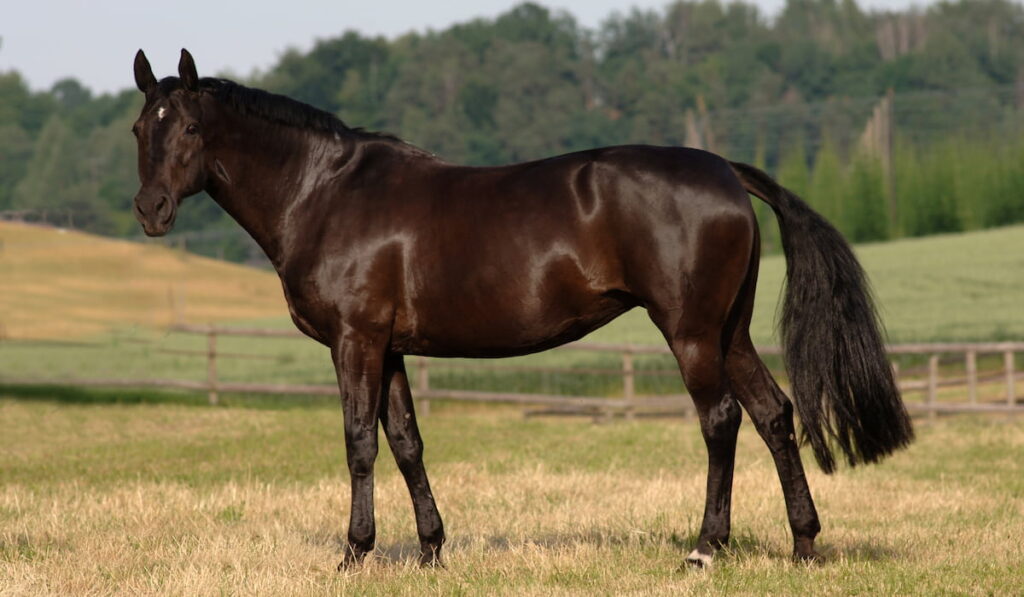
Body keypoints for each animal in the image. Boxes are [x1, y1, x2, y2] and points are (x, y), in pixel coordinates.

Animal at [130, 50, 913, 569]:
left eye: (190, 130)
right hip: (730, 330)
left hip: (691, 332)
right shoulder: (391, 347)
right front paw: (431, 551)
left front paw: (355, 553)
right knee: (775, 415)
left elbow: (358, 442)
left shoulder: (355, 341)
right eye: (141, 130)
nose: (150, 210)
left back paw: (704, 548)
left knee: (720, 420)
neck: (325, 193)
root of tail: (724, 169)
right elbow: (406, 441)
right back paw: (804, 545)